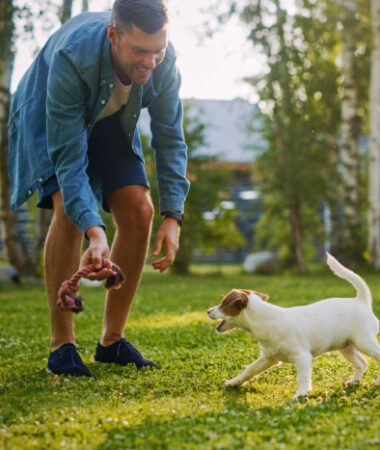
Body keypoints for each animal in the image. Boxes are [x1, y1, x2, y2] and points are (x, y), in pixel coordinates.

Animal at [208, 251, 380, 400]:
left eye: (223, 304)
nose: (208, 310)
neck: (267, 320)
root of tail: (361, 301)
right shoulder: (268, 358)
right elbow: (250, 369)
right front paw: (234, 382)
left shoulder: (302, 357)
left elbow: (302, 377)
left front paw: (301, 394)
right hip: (346, 347)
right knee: (362, 363)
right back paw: (354, 382)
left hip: (364, 342)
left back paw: (377, 382)